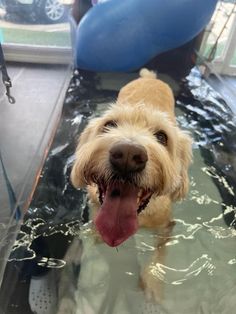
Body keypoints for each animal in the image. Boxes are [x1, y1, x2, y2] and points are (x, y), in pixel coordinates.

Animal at [71, 69, 193, 302]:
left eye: (162, 136)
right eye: (109, 125)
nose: (127, 155)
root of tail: (150, 77)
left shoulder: (166, 226)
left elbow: (160, 252)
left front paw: (153, 281)